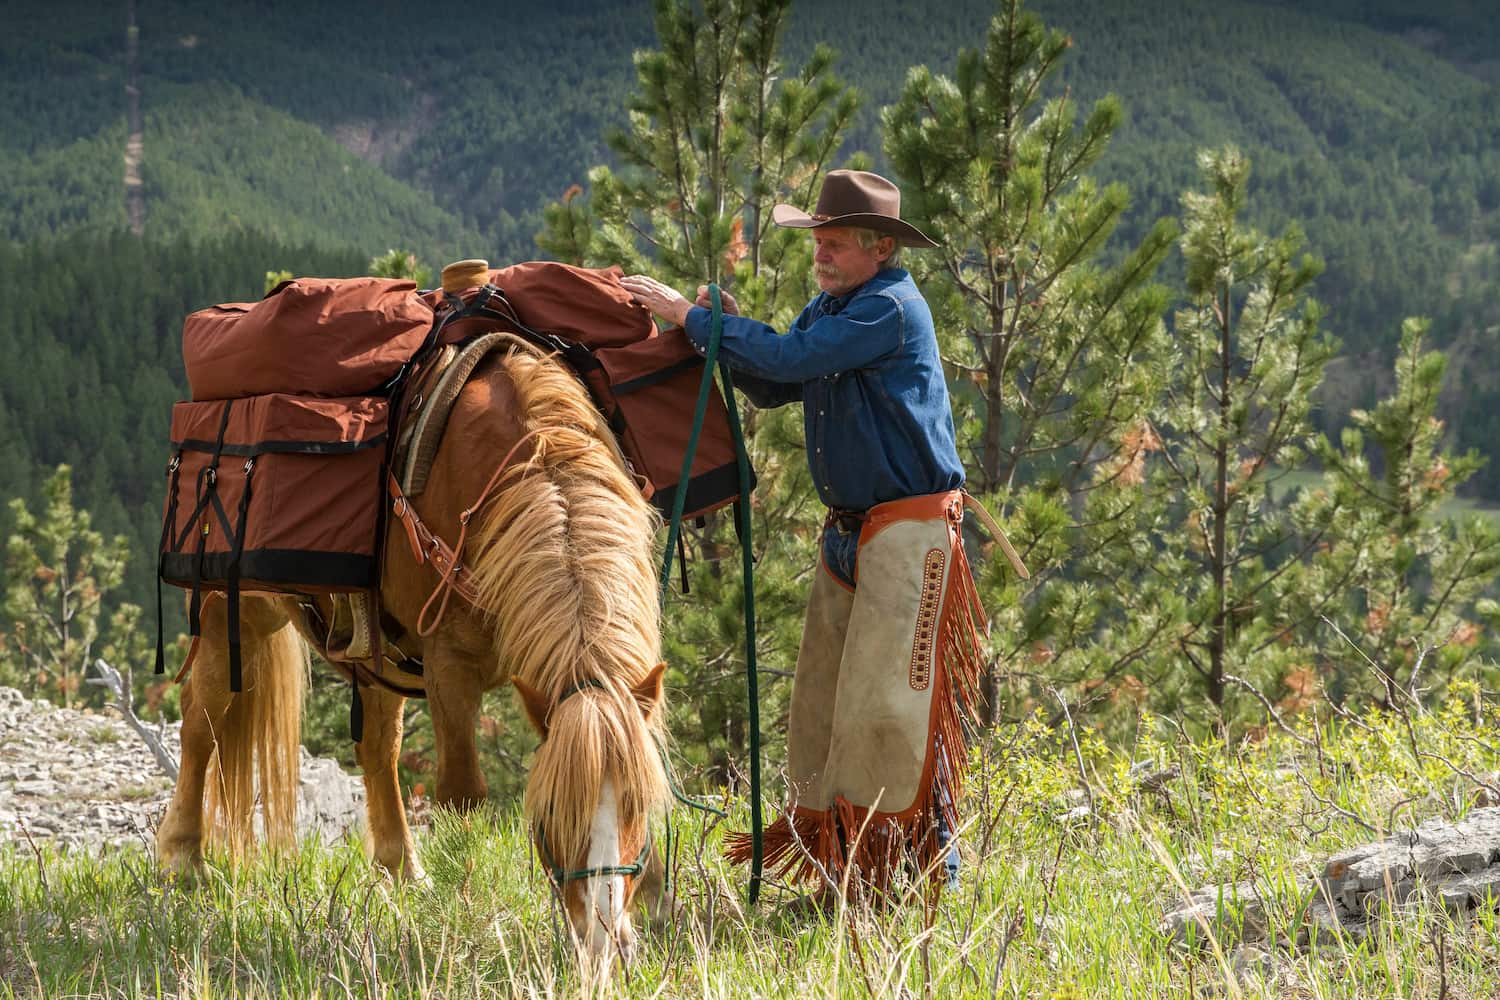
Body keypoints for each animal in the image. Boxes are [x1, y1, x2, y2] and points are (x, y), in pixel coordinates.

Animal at [154, 343, 672, 965]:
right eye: (549, 814)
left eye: (638, 805)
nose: (601, 940)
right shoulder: (449, 666)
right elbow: (462, 794)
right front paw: (467, 903)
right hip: (233, 614)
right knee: (200, 721)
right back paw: (183, 859)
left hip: (377, 657)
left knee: (376, 748)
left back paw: (403, 869)